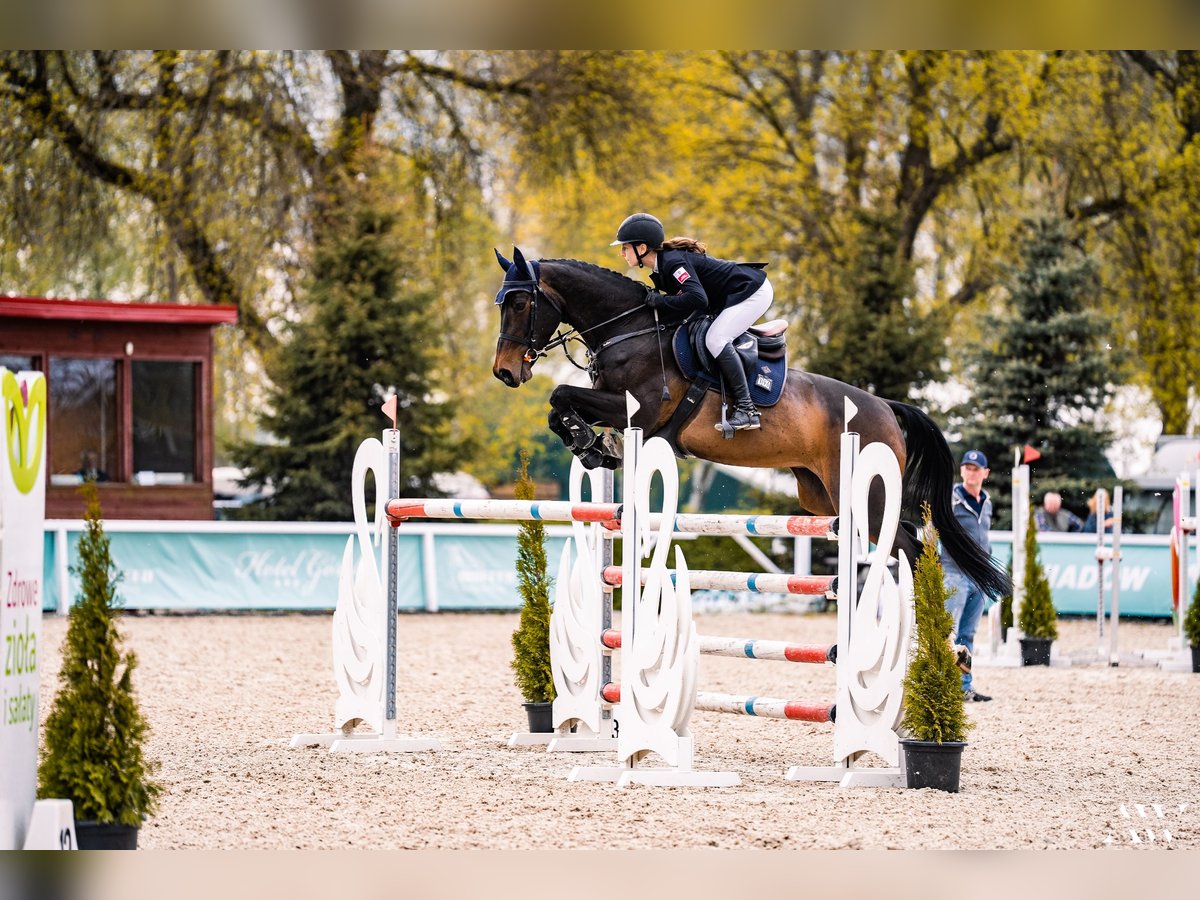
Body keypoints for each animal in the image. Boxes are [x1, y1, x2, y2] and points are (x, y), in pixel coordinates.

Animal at [492, 247, 1008, 602]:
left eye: (519, 304)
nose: (505, 372)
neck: (630, 329)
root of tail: (884, 406)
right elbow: (559, 406)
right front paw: (594, 447)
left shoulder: (637, 410)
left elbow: (561, 395)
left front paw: (589, 442)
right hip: (820, 495)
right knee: (904, 545)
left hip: (867, 498)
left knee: (910, 551)